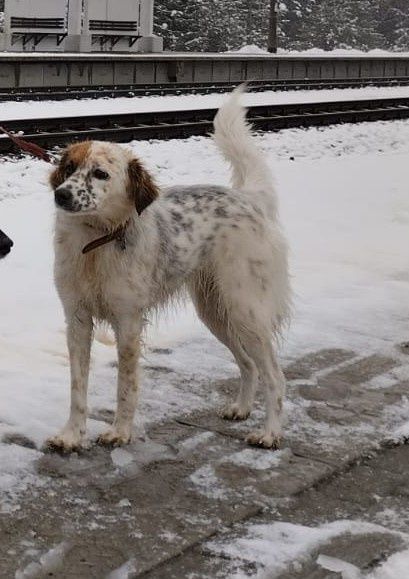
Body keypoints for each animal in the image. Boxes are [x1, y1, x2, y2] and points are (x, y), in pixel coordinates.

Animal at [47, 89, 290, 454]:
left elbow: (126, 385)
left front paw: (120, 432)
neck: (97, 239)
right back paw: (242, 408)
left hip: (245, 310)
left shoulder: (128, 322)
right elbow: (78, 388)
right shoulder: (76, 319)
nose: (60, 195)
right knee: (248, 365)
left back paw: (270, 433)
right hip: (215, 312)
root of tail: (245, 198)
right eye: (69, 167)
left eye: (100, 174)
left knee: (274, 375)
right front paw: (72, 435)